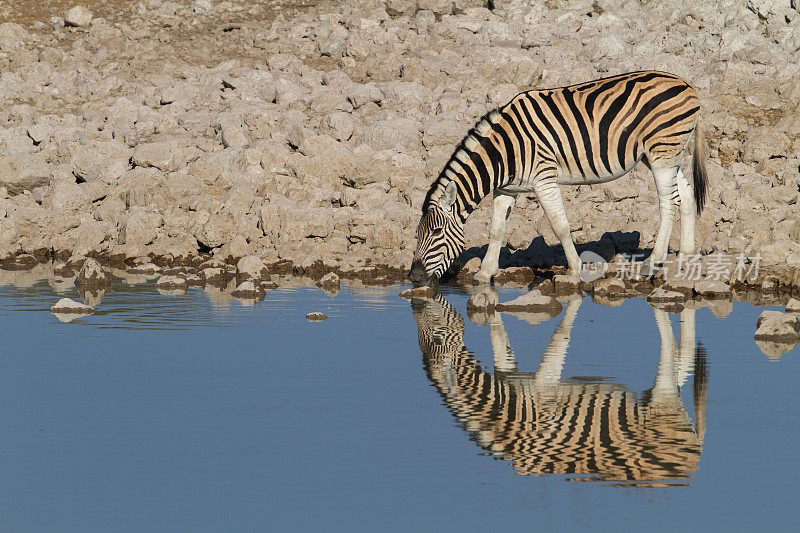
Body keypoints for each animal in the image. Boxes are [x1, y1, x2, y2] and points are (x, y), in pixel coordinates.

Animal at [410, 74, 708, 286]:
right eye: (417, 234)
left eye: (436, 232)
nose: (415, 278)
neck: (504, 152)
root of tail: (687, 84)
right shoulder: (506, 190)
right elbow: (496, 230)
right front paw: (485, 273)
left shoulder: (544, 178)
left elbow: (560, 226)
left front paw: (575, 269)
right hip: (664, 155)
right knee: (686, 194)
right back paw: (686, 255)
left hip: (662, 152)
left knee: (669, 203)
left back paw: (652, 263)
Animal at [412, 296, 708, 482]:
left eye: (437, 337)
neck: (506, 412)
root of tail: (691, 465)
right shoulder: (514, 375)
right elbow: (500, 341)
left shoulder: (543, 389)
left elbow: (558, 338)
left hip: (662, 402)